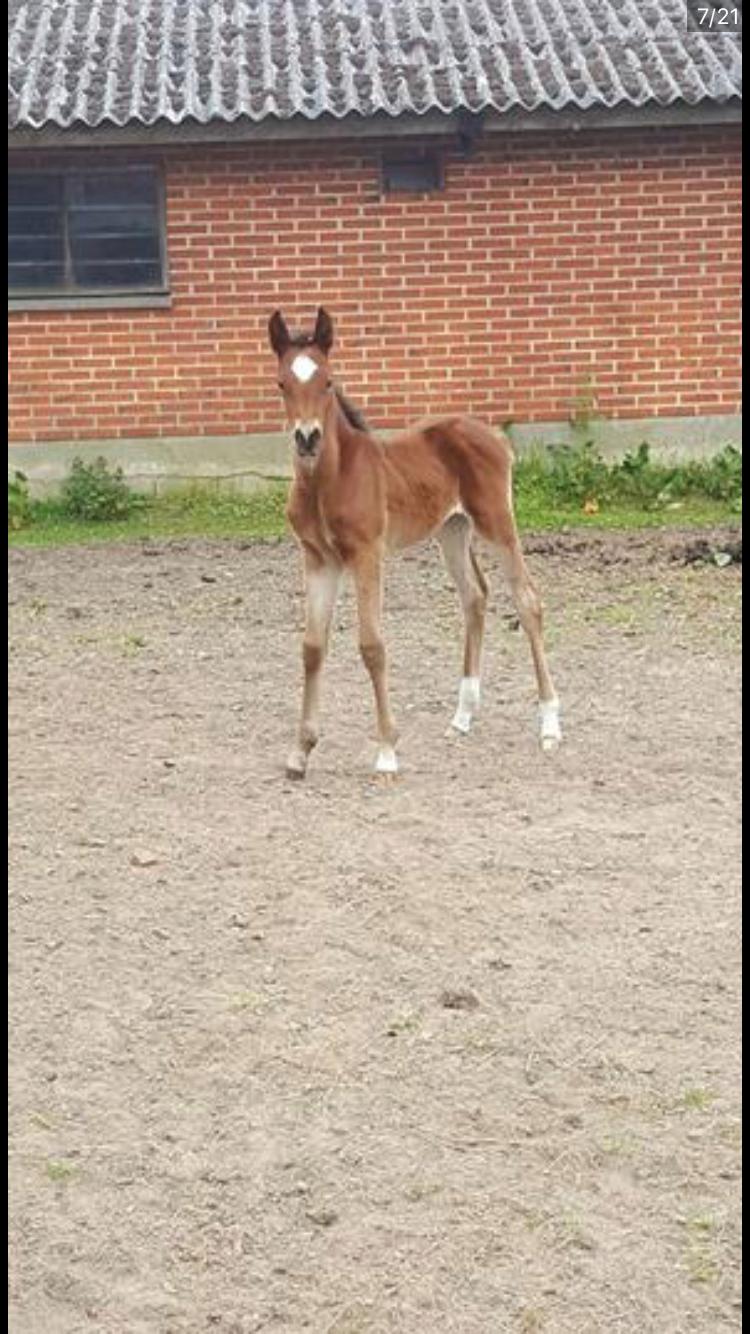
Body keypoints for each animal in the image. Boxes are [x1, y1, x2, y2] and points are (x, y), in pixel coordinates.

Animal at [265, 305, 557, 779]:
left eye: (327, 381)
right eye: (280, 383)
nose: (307, 439)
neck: (330, 480)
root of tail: (495, 435)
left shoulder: (366, 554)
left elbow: (371, 645)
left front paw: (386, 750)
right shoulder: (318, 559)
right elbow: (312, 647)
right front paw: (301, 751)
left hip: (496, 521)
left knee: (528, 600)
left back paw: (550, 725)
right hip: (452, 530)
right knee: (475, 596)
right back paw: (461, 718)